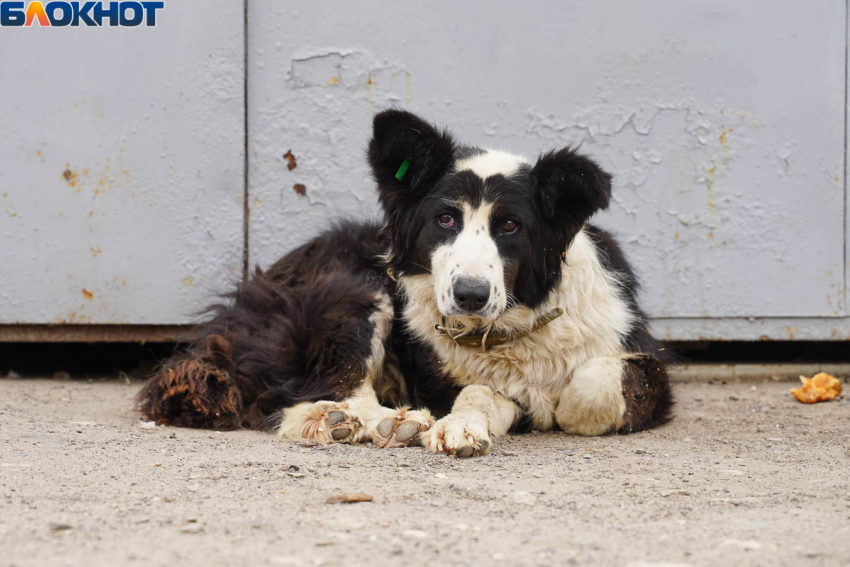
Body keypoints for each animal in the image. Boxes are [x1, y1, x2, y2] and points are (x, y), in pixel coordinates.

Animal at [137, 110, 668, 458]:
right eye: (446, 219)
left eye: (510, 226)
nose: (469, 295)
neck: (513, 328)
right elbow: (494, 392)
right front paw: (457, 424)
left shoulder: (645, 365)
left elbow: (586, 385)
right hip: (353, 291)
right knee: (297, 393)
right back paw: (354, 421)